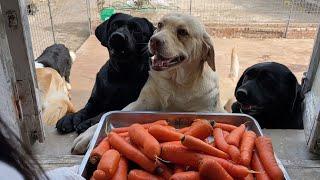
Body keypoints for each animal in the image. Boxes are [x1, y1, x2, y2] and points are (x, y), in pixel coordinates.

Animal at [70, 13, 225, 154]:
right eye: (160, 25)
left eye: (182, 32)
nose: (154, 40)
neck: (175, 82)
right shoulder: (140, 103)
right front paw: (87, 136)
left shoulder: (204, 110)